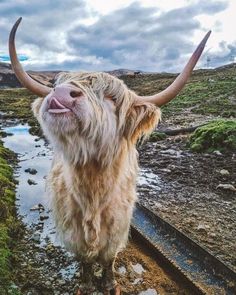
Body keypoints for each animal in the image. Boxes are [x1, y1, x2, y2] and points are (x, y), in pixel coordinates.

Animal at [8, 17, 210, 294]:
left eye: (111, 97)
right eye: (57, 85)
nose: (60, 94)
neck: (92, 187)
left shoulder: (117, 226)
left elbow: (108, 258)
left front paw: (109, 284)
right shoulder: (72, 228)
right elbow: (84, 258)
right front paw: (84, 283)